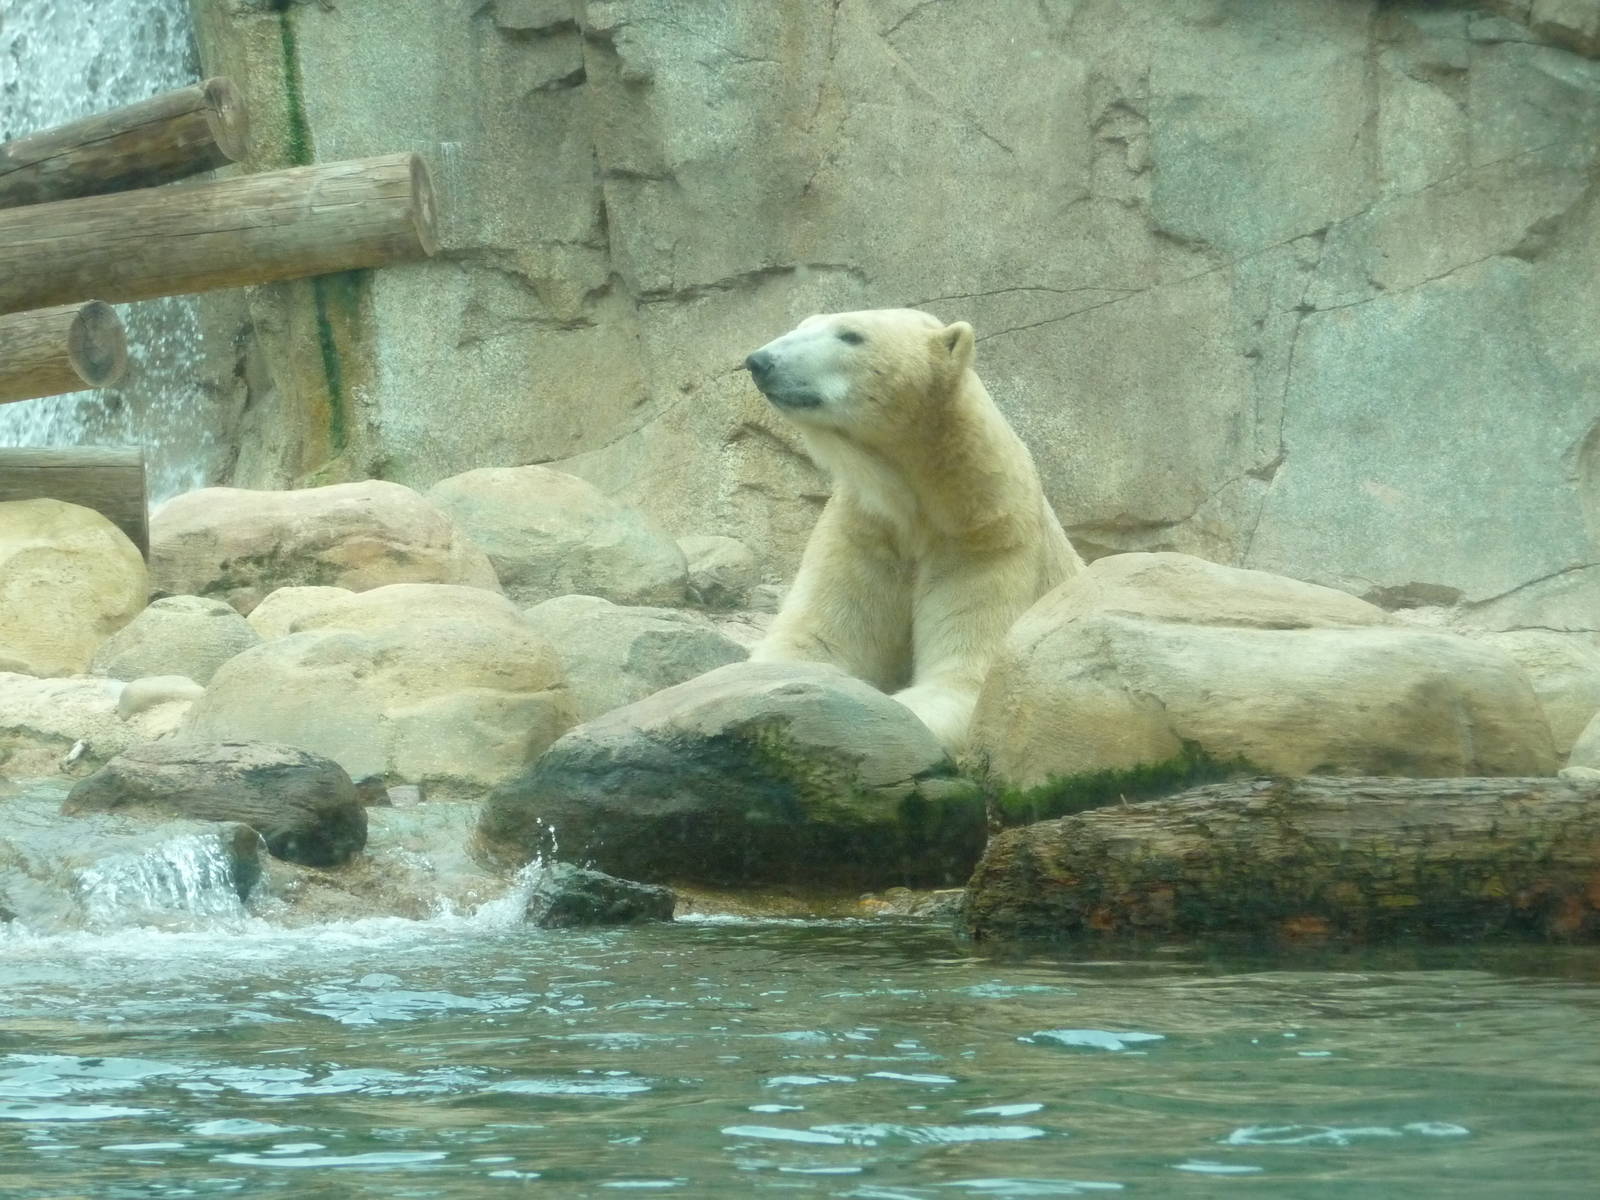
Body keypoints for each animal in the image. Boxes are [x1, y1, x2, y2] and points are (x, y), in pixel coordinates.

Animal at [743, 307, 1082, 752]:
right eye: (802, 325)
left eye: (851, 335)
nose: (760, 361)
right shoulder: (864, 531)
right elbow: (810, 643)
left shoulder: (989, 538)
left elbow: (964, 681)